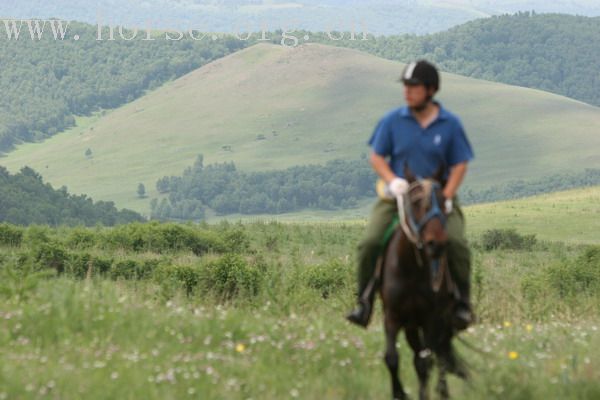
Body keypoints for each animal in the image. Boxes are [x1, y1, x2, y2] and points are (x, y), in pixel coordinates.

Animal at [378, 168, 466, 400]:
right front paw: (399, 393)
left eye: (444, 201)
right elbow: (392, 357)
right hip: (411, 326)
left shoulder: (431, 318)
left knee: (440, 354)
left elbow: (428, 361)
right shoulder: (393, 316)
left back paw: (443, 391)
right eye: (415, 202)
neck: (411, 269)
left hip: (441, 320)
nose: (435, 243)